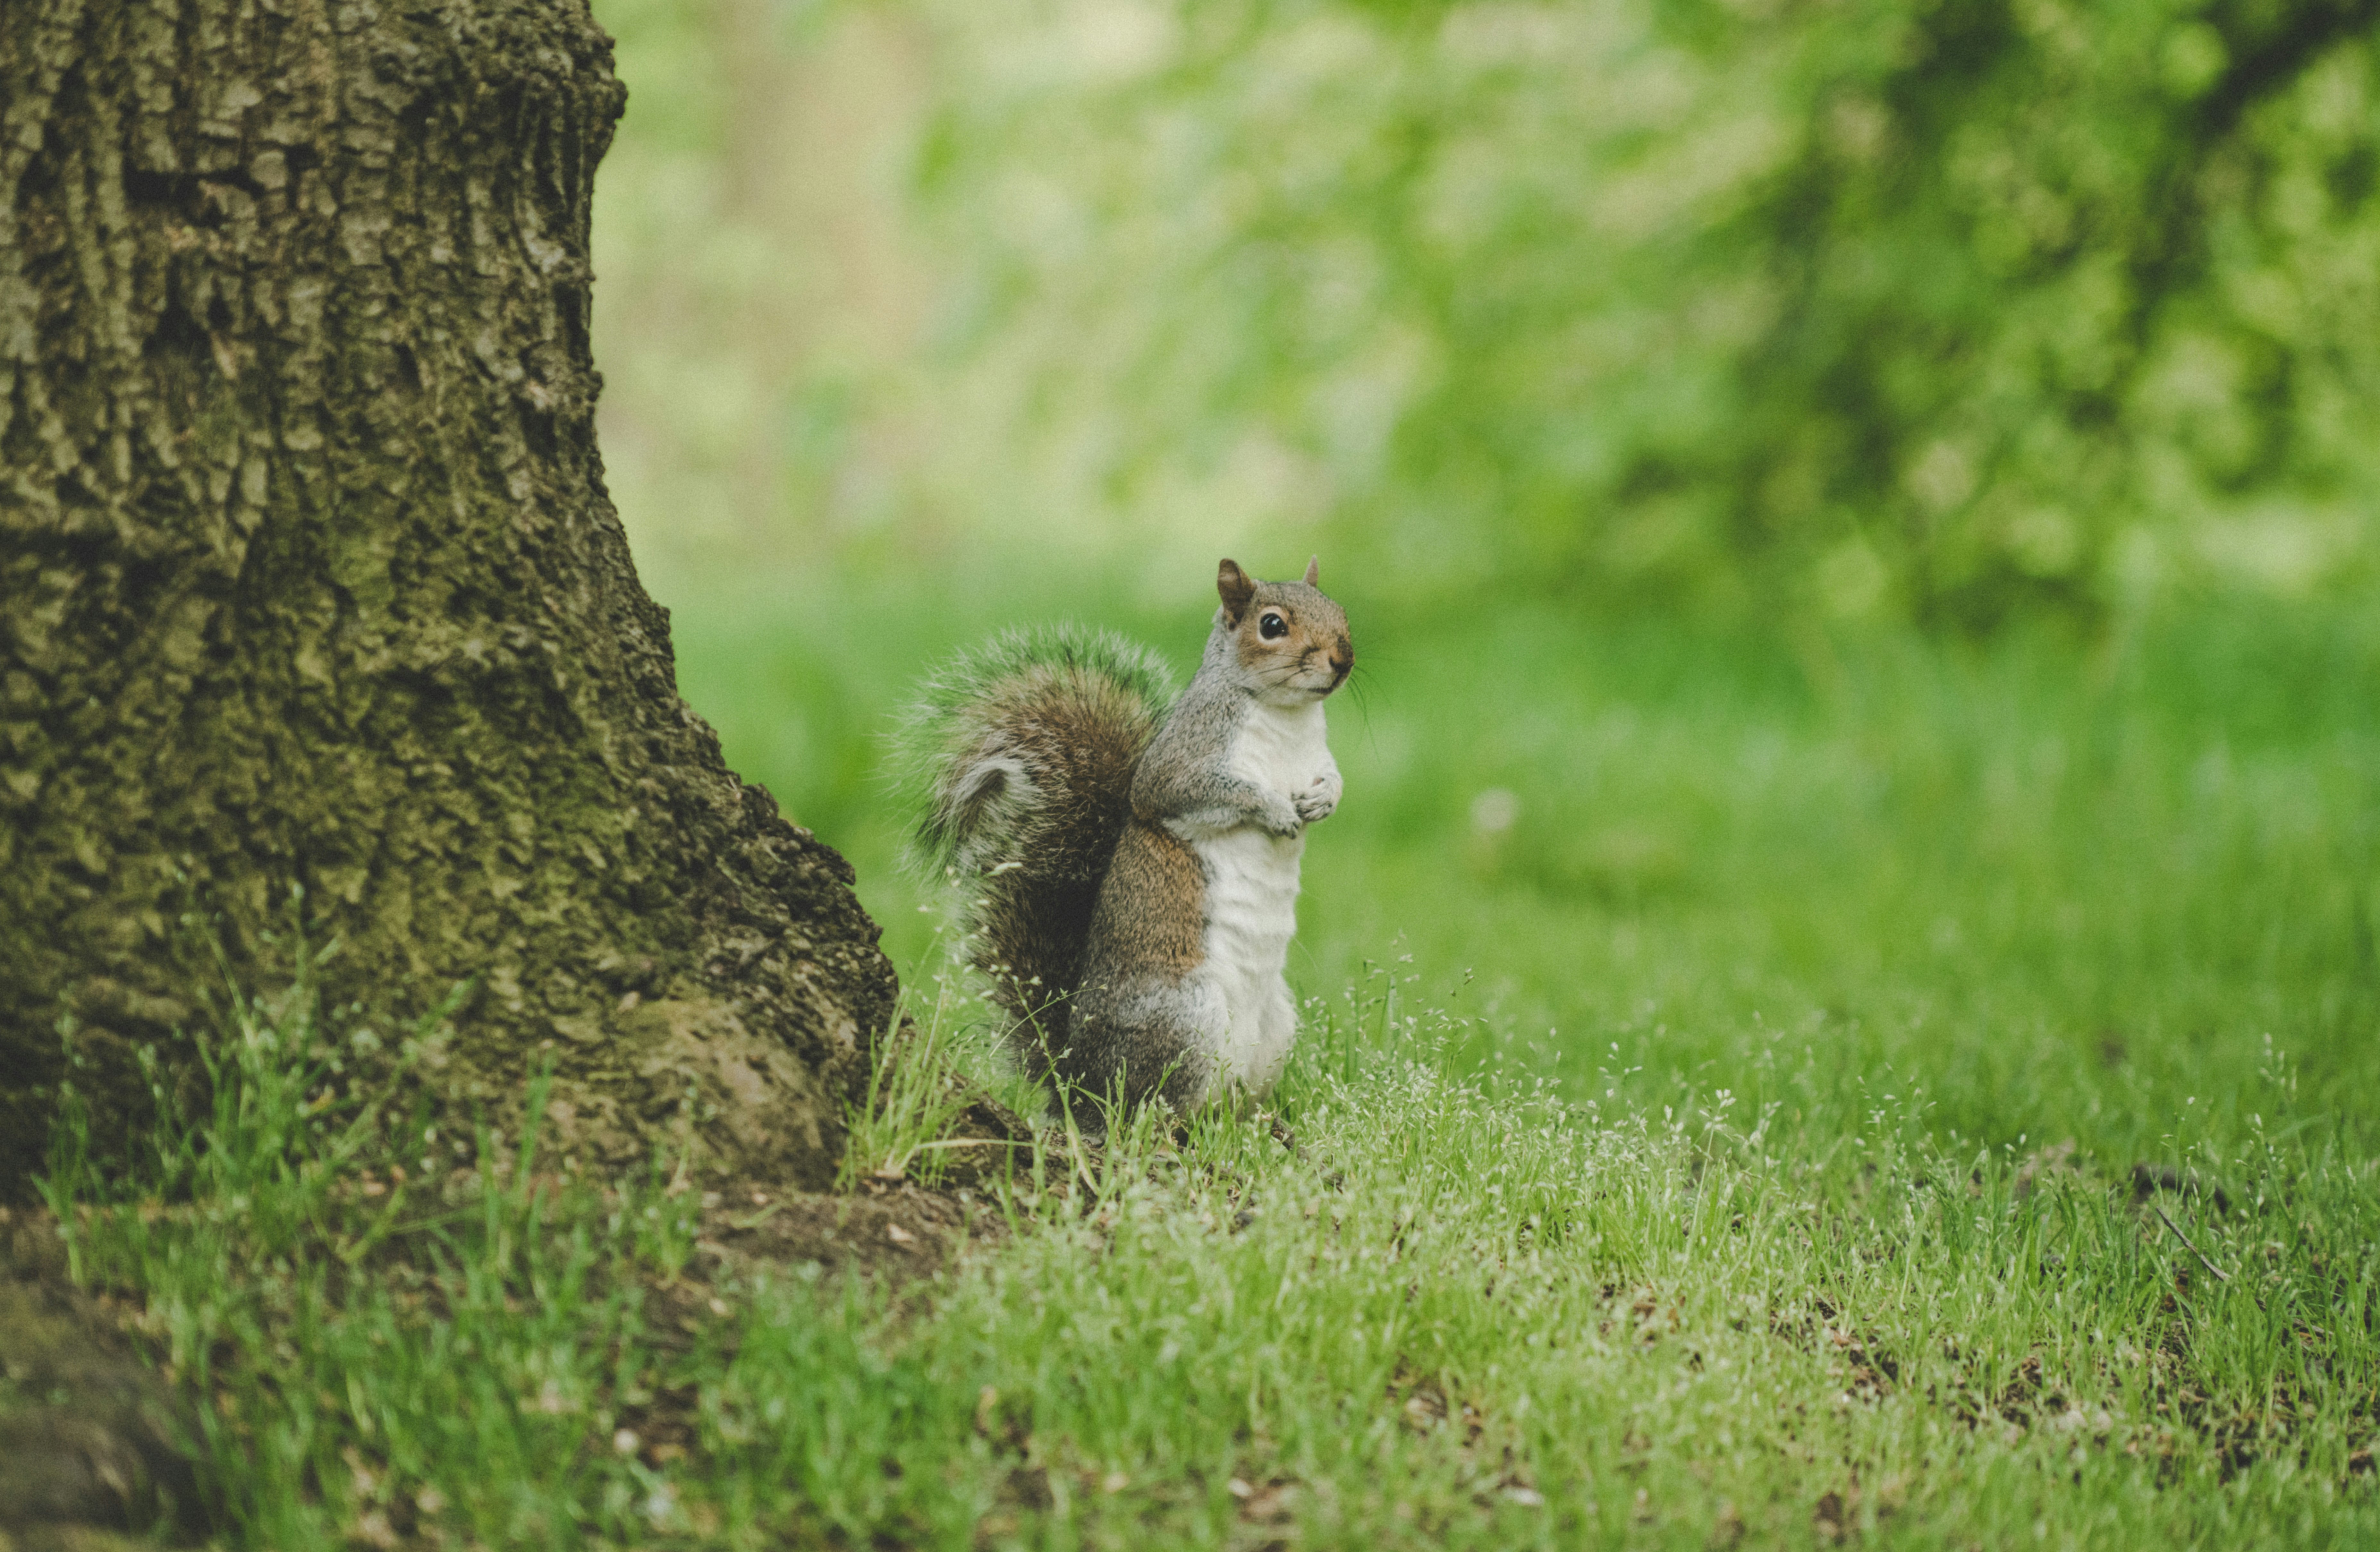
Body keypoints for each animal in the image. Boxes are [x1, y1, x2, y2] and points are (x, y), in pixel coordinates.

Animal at [897, 558, 1354, 1120]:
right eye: (1272, 625)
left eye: (1340, 610)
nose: (1343, 660)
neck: (1288, 717)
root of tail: (1074, 1081)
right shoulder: (1181, 764)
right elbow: (1205, 791)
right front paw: (1275, 811)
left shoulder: (1317, 757)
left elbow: (1333, 779)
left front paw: (1323, 801)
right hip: (1183, 1018)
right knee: (1150, 1107)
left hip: (1275, 1028)